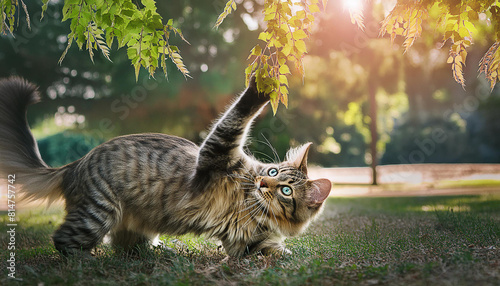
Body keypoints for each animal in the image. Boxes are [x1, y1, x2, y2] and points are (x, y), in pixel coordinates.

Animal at [0, 76, 332, 256]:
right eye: (272, 172)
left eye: (285, 190)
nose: (263, 184)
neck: (250, 204)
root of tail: (75, 163)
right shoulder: (216, 152)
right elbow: (239, 114)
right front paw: (263, 86)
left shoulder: (248, 244)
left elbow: (273, 252)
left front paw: (284, 255)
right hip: (98, 211)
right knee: (64, 242)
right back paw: (88, 261)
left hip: (127, 221)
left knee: (121, 247)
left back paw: (161, 251)